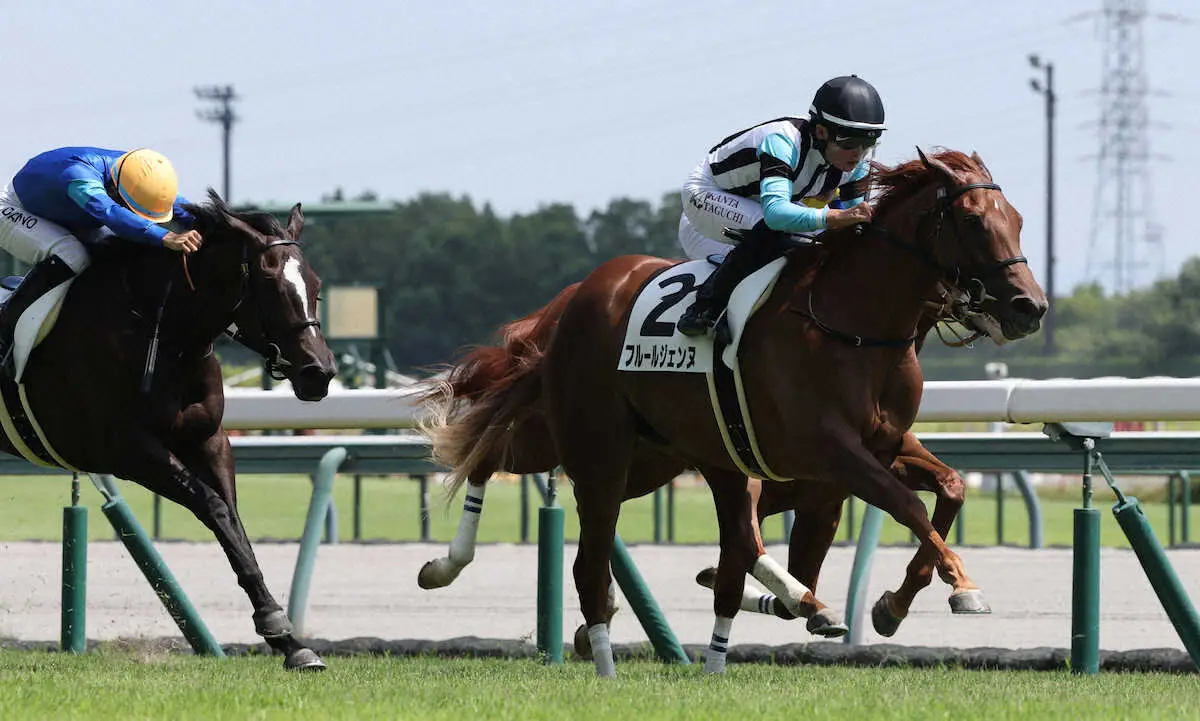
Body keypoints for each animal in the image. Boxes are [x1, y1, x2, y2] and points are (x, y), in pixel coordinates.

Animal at [0, 191, 338, 670]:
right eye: (270, 285)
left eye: (315, 284)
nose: (318, 373)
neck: (161, 331)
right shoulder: (128, 450)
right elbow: (213, 507)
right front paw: (277, 626)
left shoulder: (208, 440)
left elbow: (233, 522)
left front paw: (289, 640)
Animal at [420, 149, 1047, 676]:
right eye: (973, 221)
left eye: (1017, 218)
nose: (1030, 307)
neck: (852, 326)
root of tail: (581, 295)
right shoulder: (829, 452)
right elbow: (906, 506)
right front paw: (962, 586)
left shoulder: (874, 450)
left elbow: (949, 489)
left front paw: (891, 603)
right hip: (594, 446)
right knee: (507, 474)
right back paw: (465, 576)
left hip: (647, 459)